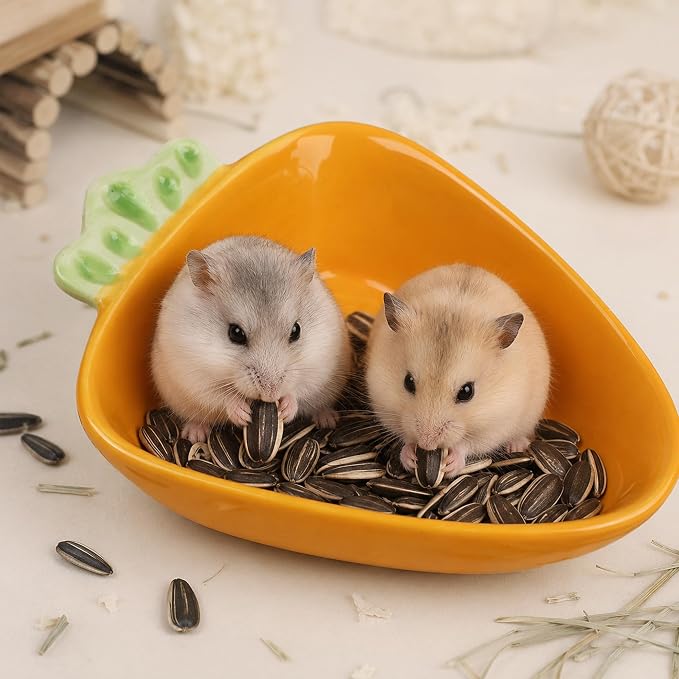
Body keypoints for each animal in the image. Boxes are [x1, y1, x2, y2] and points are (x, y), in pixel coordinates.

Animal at [151, 236, 352, 443]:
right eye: (235, 333)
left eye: (296, 330)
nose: (270, 395)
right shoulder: (195, 378)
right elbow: (221, 397)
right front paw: (243, 414)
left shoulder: (319, 369)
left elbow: (299, 390)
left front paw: (284, 410)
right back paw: (194, 436)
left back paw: (328, 420)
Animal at [365, 264, 550, 477]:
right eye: (408, 382)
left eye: (467, 392)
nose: (427, 444)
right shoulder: (385, 406)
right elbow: (403, 435)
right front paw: (410, 458)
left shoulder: (496, 425)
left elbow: (468, 444)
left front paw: (450, 464)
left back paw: (517, 446)